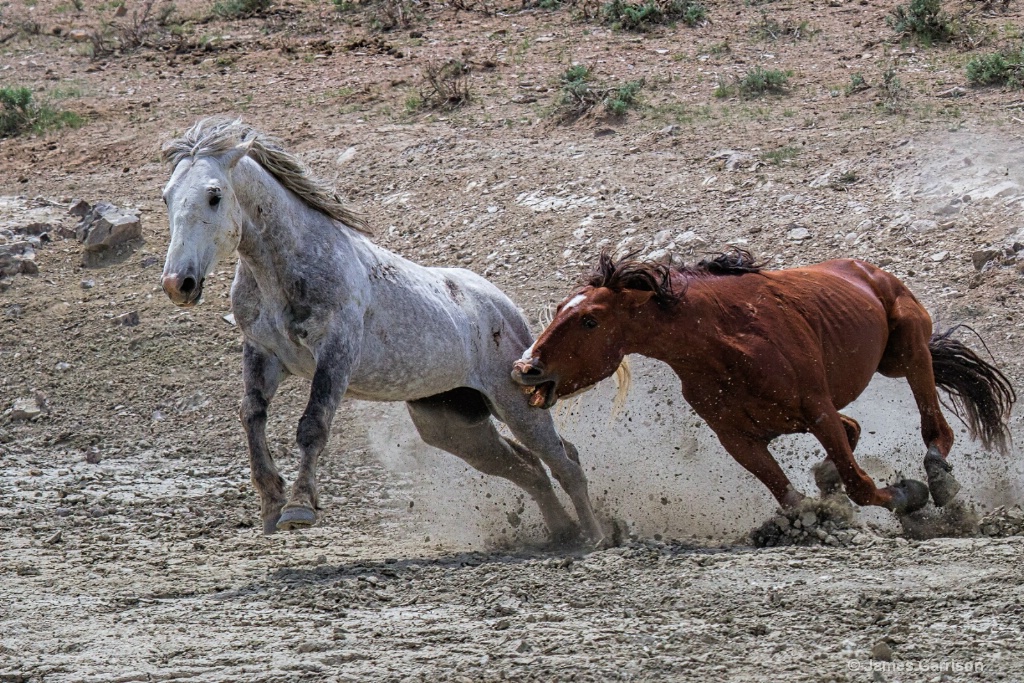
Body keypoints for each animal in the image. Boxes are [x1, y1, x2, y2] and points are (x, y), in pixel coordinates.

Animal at [158, 117, 602, 544]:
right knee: (528, 467)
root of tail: (508, 310)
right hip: (453, 427)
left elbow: (313, 424)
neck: (285, 268)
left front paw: (299, 508)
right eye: (166, 196)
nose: (178, 283)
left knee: (564, 460)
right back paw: (563, 532)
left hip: (515, 404)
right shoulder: (263, 353)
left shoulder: (336, 353)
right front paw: (271, 503)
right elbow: (251, 414)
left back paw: (596, 536)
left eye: (214, 195)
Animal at [516, 253, 1011, 516]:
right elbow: (790, 494)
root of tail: (870, 272)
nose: (526, 368)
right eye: (559, 308)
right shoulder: (738, 438)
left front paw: (906, 495)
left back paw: (938, 478)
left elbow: (860, 483)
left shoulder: (816, 409)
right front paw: (815, 516)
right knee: (855, 429)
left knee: (935, 428)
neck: (720, 340)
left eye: (590, 319)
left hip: (908, 352)